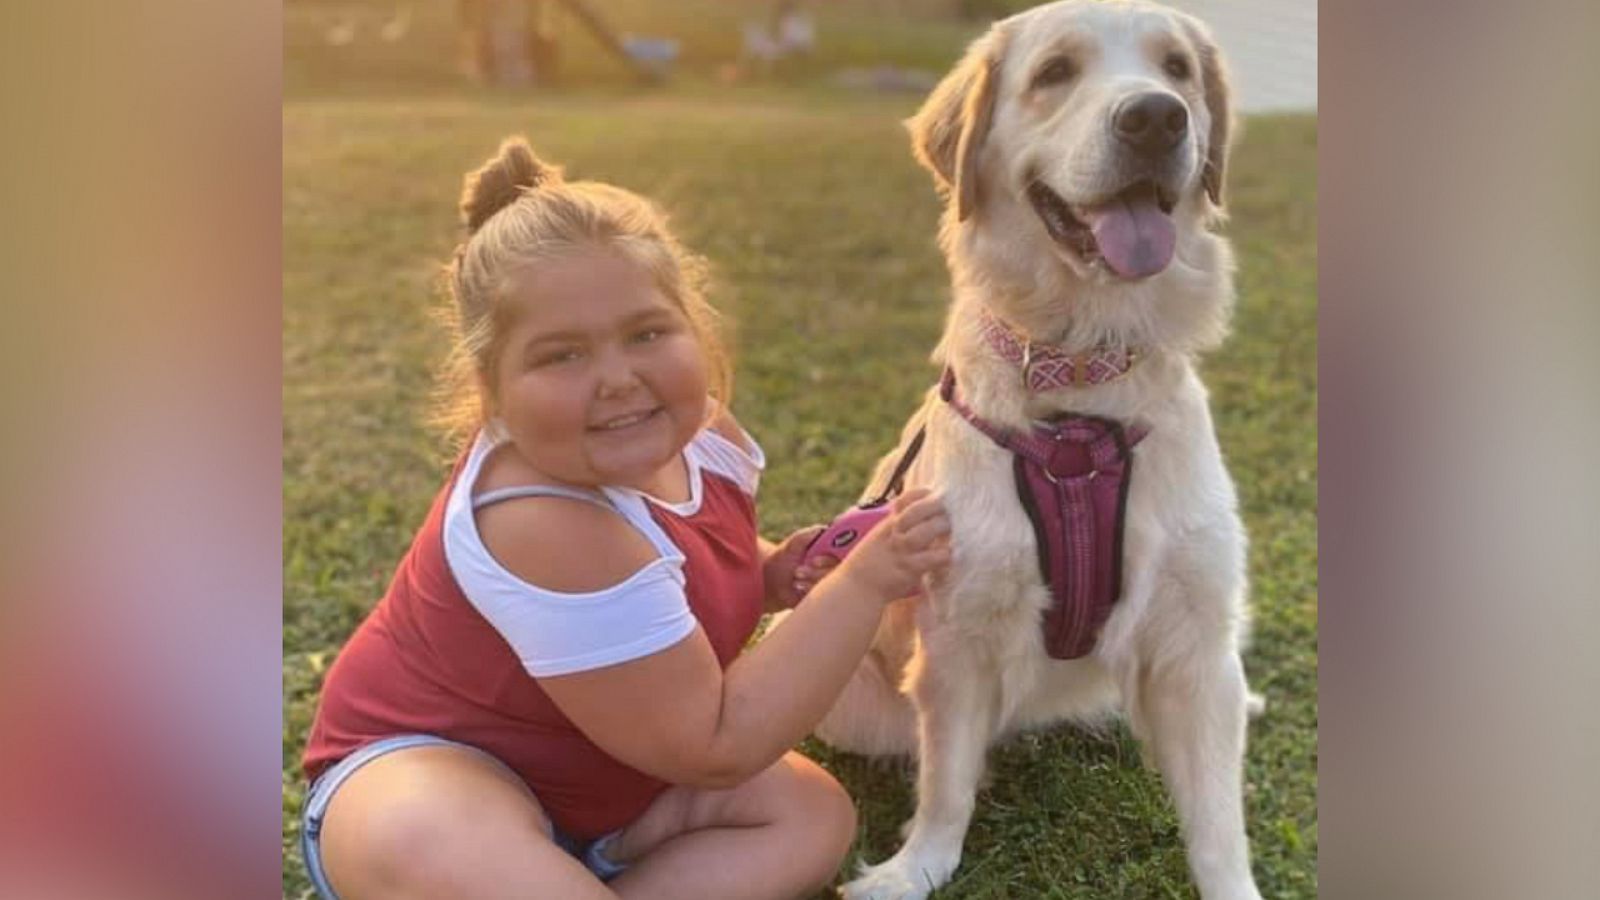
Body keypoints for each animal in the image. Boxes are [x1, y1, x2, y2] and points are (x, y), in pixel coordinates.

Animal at [800, 1, 1260, 896]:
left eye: (1177, 68)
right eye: (1055, 73)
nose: (1156, 118)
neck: (1080, 385)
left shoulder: (1197, 638)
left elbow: (1219, 824)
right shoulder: (959, 633)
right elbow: (947, 786)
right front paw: (914, 868)